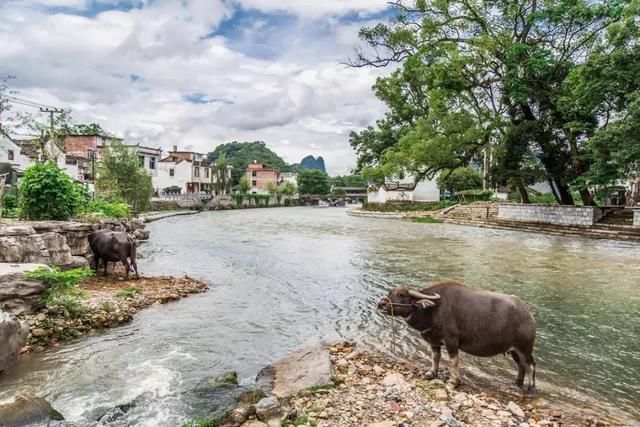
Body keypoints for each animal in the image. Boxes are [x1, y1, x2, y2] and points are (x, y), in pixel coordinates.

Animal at [378, 280, 536, 392]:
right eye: (390, 292)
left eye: (402, 295)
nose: (382, 304)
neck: (433, 310)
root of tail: (528, 313)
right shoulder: (434, 342)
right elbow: (435, 358)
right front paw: (432, 373)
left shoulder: (451, 341)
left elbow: (453, 361)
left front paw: (453, 382)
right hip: (514, 351)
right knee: (521, 367)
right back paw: (517, 384)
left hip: (525, 349)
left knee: (530, 366)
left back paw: (530, 388)